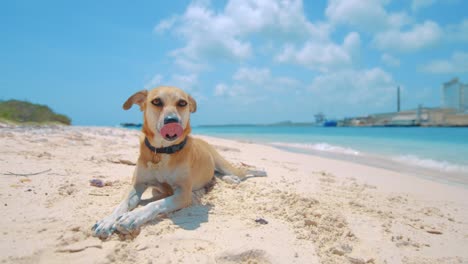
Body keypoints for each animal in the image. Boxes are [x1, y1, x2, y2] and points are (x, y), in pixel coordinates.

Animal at [92, 86, 266, 239]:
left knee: (242, 171)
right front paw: (107, 221)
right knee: (217, 174)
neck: (162, 152)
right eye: (156, 101)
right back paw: (230, 179)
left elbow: (155, 204)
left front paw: (133, 217)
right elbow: (122, 204)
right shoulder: (138, 185)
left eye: (182, 103)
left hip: (223, 163)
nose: (172, 121)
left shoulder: (183, 194)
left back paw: (259, 171)